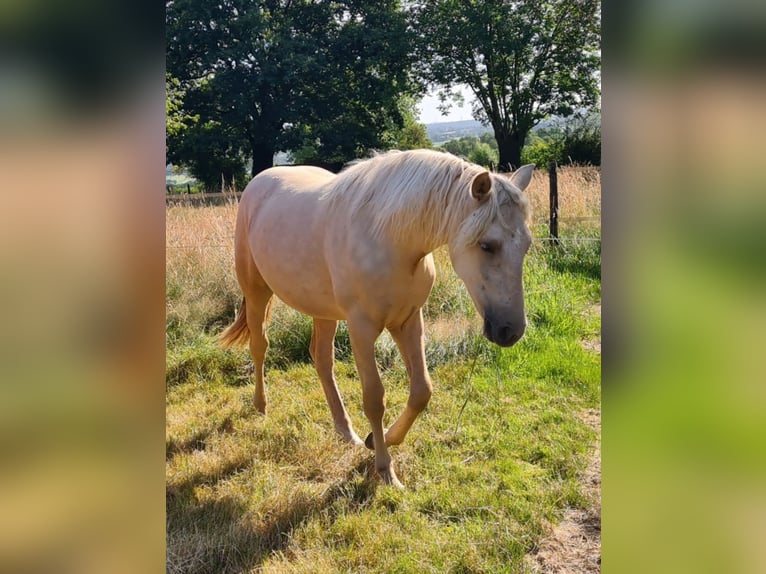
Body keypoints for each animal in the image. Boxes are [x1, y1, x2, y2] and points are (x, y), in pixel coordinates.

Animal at [222, 151, 536, 488]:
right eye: (487, 245)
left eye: (526, 244)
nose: (510, 330)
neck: (389, 238)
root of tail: (259, 182)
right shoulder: (361, 329)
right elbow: (374, 398)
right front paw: (385, 470)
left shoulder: (408, 321)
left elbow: (421, 390)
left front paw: (379, 439)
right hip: (257, 291)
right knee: (259, 346)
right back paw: (261, 406)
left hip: (323, 311)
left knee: (322, 360)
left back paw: (346, 431)